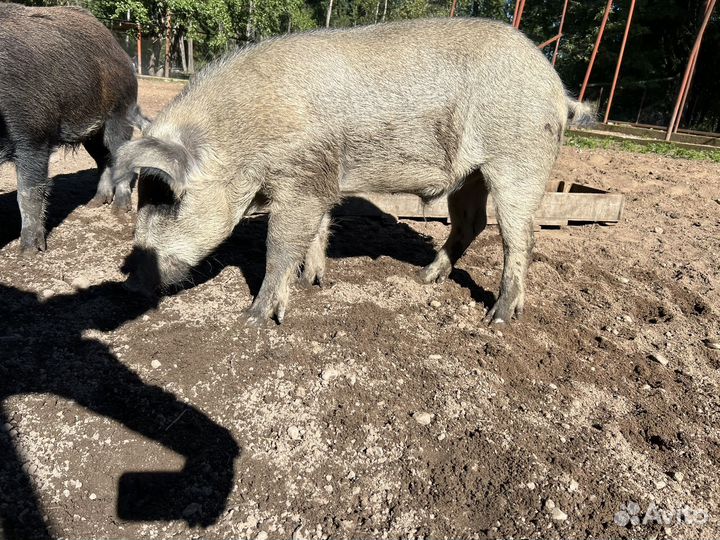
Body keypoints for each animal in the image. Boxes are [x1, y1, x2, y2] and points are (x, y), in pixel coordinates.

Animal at [0, 3, 148, 253]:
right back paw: (93, 204)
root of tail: (122, 54)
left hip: (120, 113)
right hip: (92, 133)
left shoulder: (33, 135)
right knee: (103, 160)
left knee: (120, 155)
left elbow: (28, 192)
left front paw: (29, 252)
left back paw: (119, 210)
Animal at [113, 18, 591, 325]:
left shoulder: (301, 179)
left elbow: (279, 245)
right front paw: (314, 282)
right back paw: (425, 277)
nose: (132, 283)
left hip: (518, 161)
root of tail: (557, 87)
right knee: (470, 223)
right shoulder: (319, 182)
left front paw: (252, 319)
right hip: (470, 177)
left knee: (521, 237)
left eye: (170, 197)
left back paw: (497, 319)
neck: (243, 137)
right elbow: (318, 231)